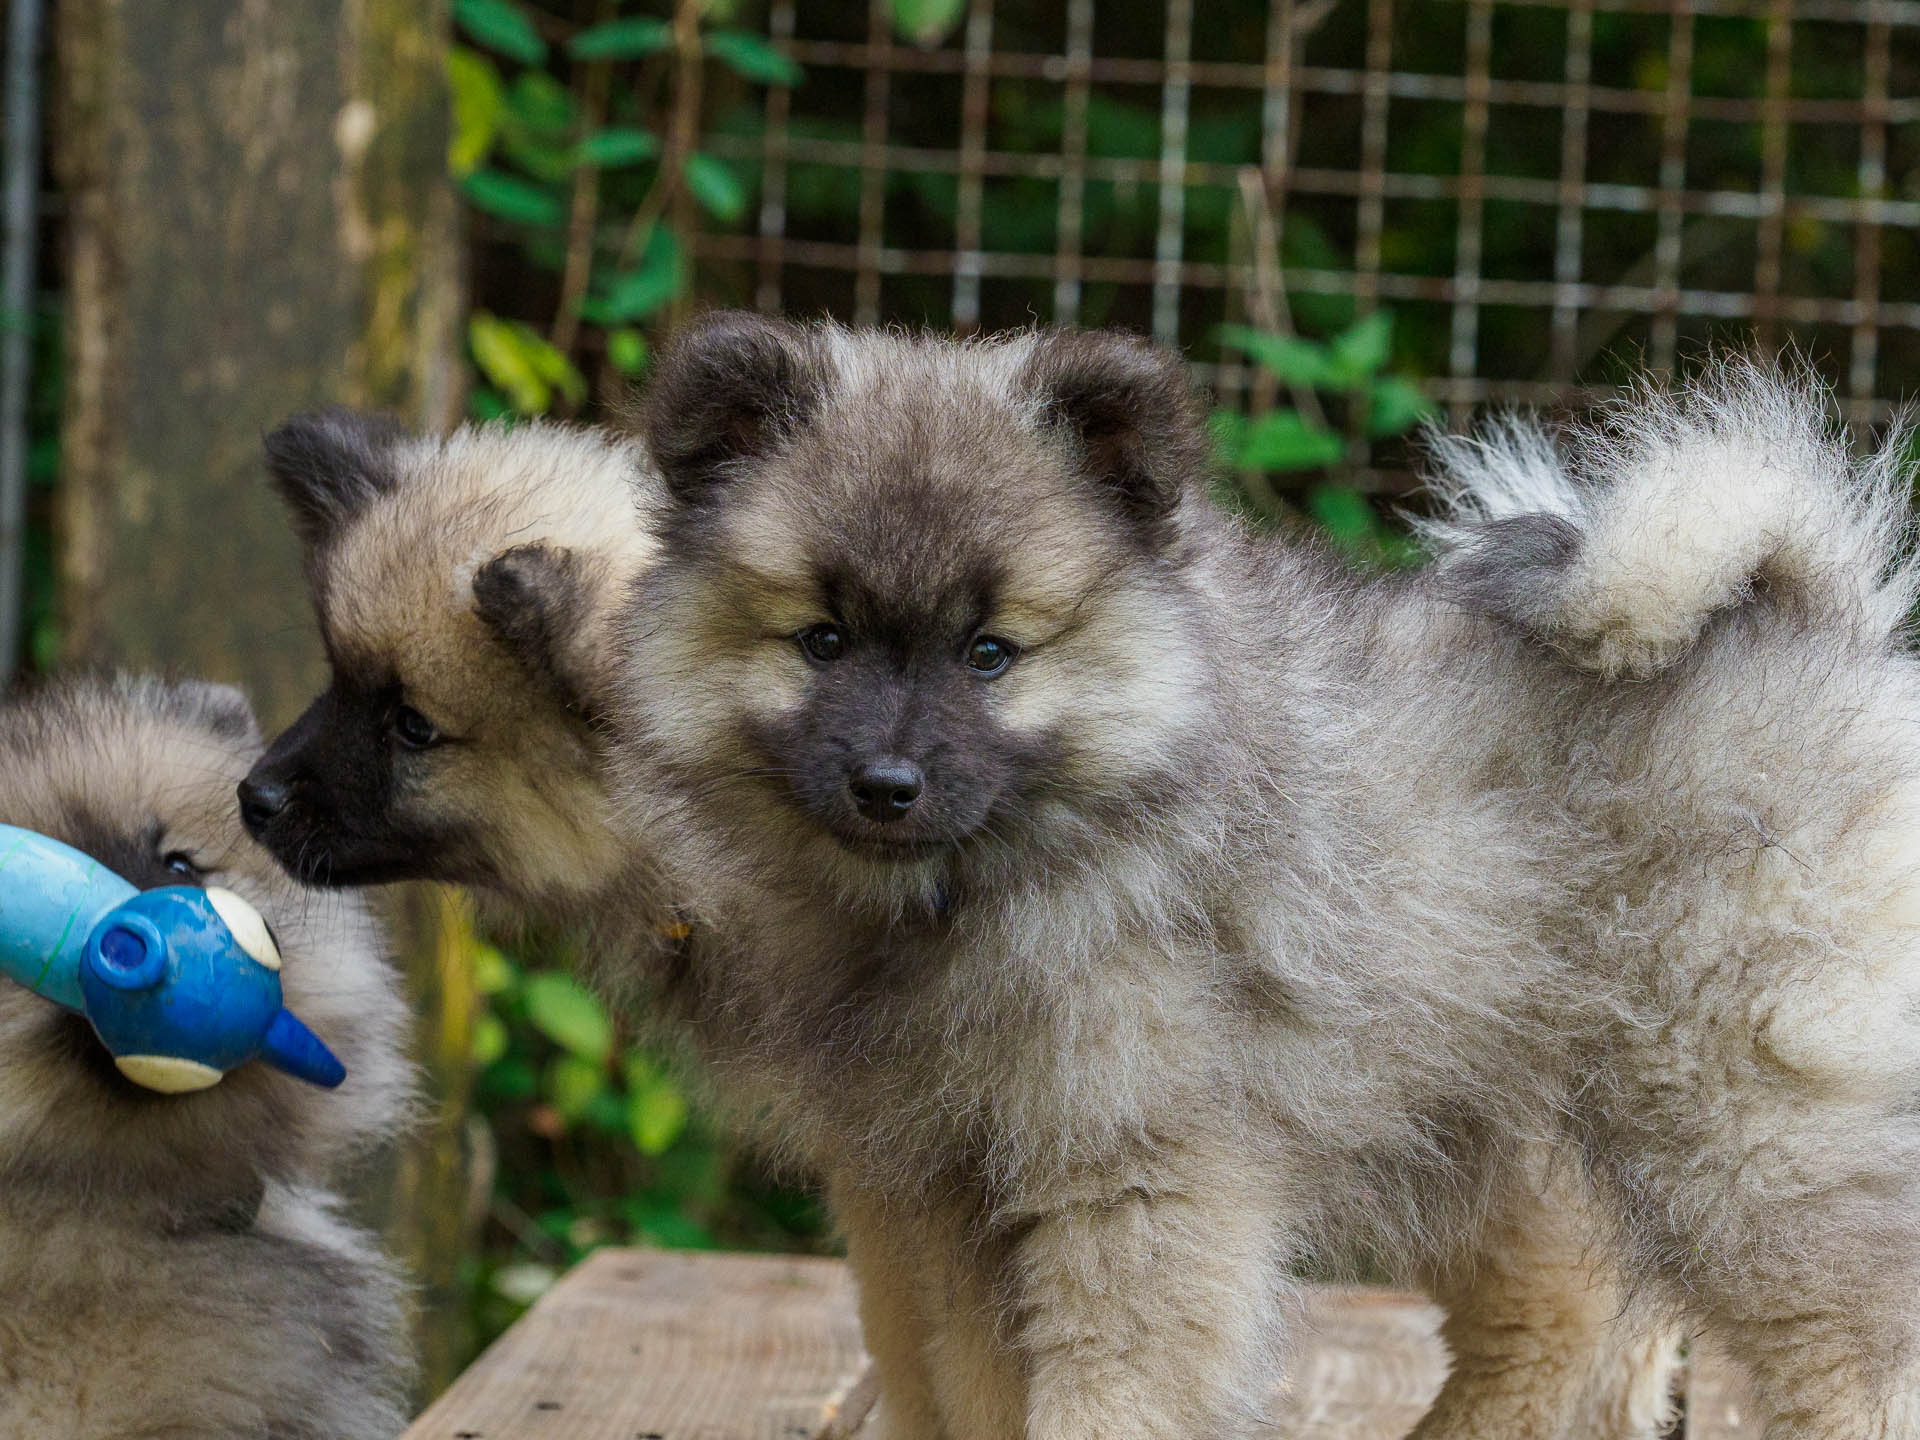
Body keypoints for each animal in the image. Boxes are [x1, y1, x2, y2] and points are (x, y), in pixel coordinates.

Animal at [587, 318, 1920, 1440]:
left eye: (990, 654)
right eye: (820, 641)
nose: (886, 782)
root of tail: (1816, 631)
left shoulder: (1136, 1178)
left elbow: (1110, 1397)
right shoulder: (954, 1197)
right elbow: (980, 1390)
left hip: (1744, 1132)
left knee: (1849, 1346)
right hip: (1481, 1115)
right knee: (1570, 1318)